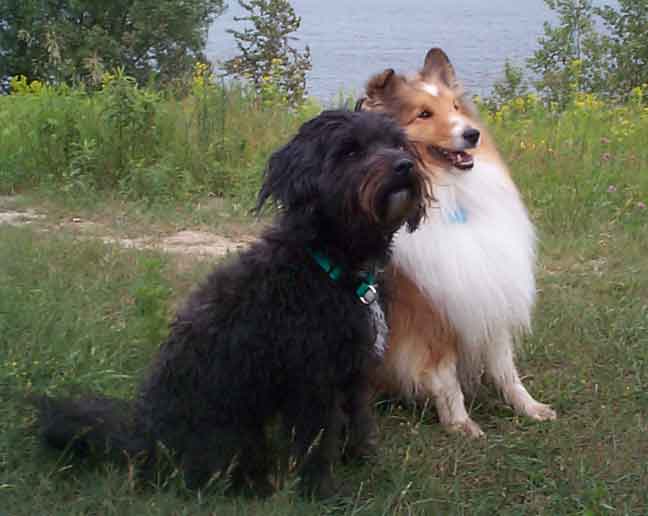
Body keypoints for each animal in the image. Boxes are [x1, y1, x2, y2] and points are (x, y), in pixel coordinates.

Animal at [30, 110, 428, 500]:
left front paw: (365, 464)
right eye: (350, 151)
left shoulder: (353, 371)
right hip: (235, 434)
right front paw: (322, 494)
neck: (328, 265)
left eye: (395, 143)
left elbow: (358, 421)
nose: (405, 165)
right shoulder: (313, 383)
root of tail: (143, 441)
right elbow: (315, 444)